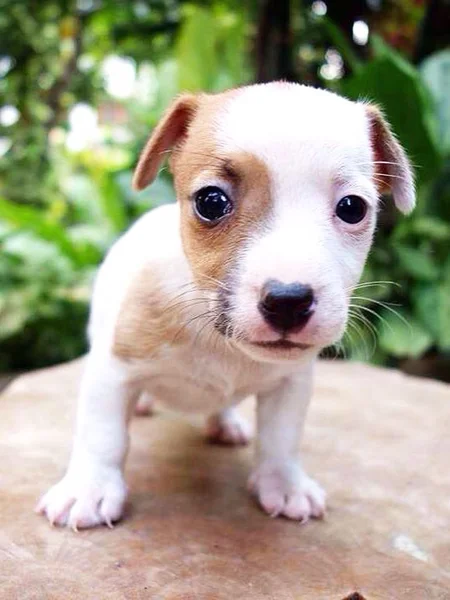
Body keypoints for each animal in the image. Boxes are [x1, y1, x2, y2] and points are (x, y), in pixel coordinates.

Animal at [36, 82, 414, 528]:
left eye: (353, 208)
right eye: (211, 201)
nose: (288, 301)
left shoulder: (291, 384)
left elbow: (281, 439)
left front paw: (284, 483)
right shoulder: (110, 370)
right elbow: (103, 434)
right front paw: (89, 489)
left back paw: (226, 422)